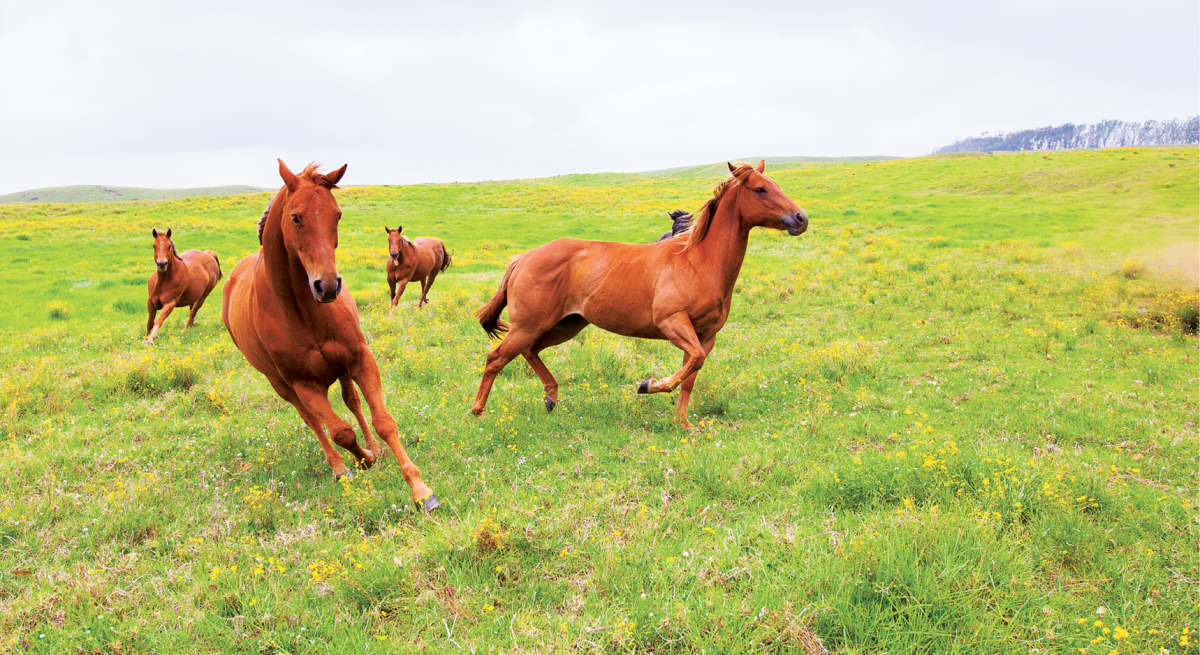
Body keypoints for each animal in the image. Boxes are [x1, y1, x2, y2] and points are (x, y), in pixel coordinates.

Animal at [221, 160, 438, 511]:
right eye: (296, 217)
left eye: (337, 214)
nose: (327, 286)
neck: (304, 310)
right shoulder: (304, 385)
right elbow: (339, 432)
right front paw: (362, 460)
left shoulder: (360, 359)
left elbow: (383, 421)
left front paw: (419, 489)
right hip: (283, 386)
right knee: (313, 422)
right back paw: (340, 466)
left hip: (341, 368)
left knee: (352, 402)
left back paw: (372, 447)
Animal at [471, 161, 808, 430]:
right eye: (760, 189)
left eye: (776, 185)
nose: (801, 218)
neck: (698, 262)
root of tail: (523, 258)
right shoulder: (673, 322)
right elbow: (690, 365)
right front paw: (649, 385)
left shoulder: (705, 334)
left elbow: (691, 374)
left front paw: (683, 425)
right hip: (530, 324)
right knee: (496, 358)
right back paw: (478, 412)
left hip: (566, 325)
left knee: (530, 351)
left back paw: (551, 397)